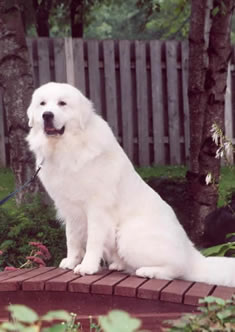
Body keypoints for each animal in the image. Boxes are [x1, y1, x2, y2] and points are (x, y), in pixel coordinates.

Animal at [26, 81, 235, 286]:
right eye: (42, 104)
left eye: (62, 103)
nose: (47, 115)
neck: (68, 146)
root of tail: (192, 254)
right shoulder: (70, 208)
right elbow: (72, 238)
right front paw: (71, 261)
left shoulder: (96, 208)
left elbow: (93, 240)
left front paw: (87, 267)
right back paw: (119, 265)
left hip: (128, 236)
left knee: (178, 270)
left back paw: (148, 271)